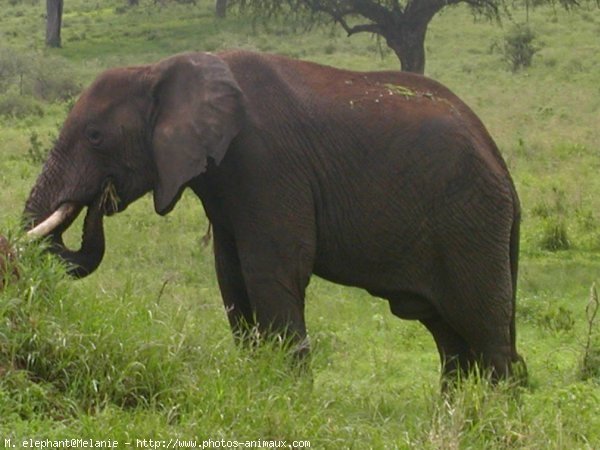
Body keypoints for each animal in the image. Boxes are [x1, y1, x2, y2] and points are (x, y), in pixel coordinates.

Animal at [21, 51, 524, 382]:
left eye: (95, 136)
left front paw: (290, 398)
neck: (162, 68)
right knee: (453, 341)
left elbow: (272, 271)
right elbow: (231, 278)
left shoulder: (267, 165)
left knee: (483, 332)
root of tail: (502, 166)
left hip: (470, 221)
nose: (97, 202)